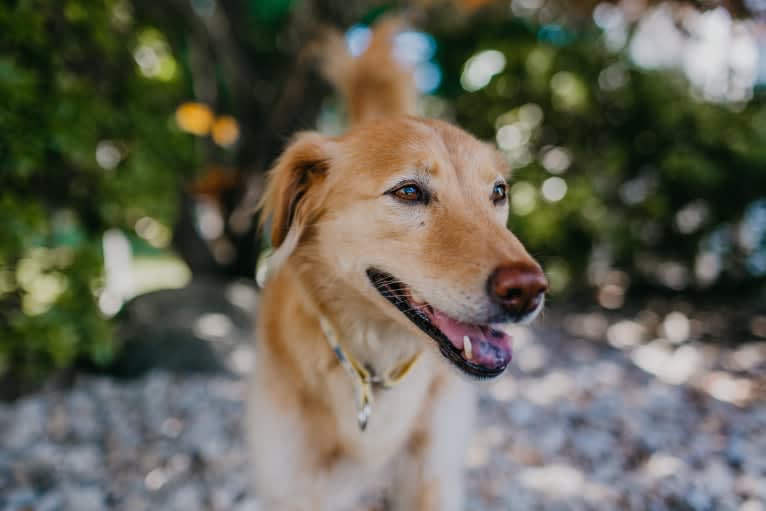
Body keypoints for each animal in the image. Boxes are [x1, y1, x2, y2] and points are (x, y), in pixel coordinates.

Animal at [249, 19, 548, 511]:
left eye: (498, 192)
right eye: (408, 191)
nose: (528, 290)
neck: (377, 362)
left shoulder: (433, 477)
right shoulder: (301, 485)